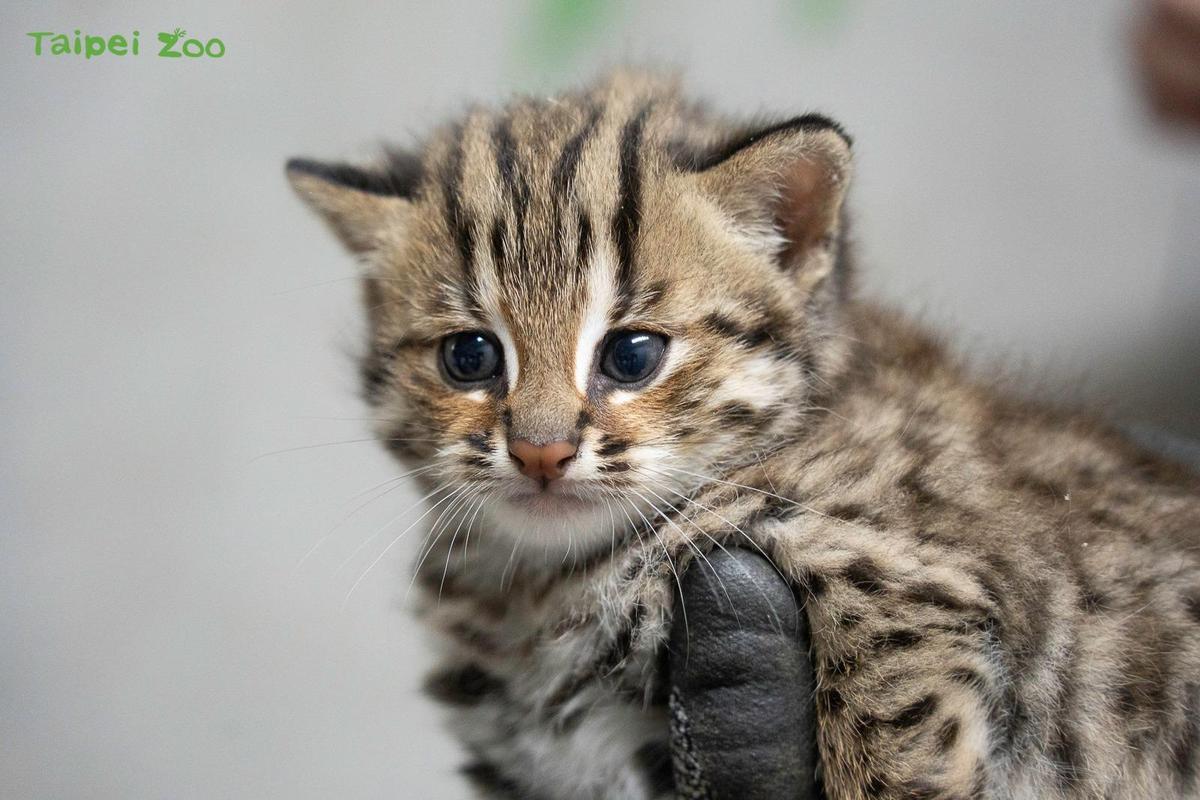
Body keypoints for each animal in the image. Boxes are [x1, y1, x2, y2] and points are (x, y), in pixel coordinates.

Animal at [288, 71, 1200, 796]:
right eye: (470, 356)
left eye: (632, 355)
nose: (541, 452)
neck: (544, 584)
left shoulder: (906, 574)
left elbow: (887, 757)